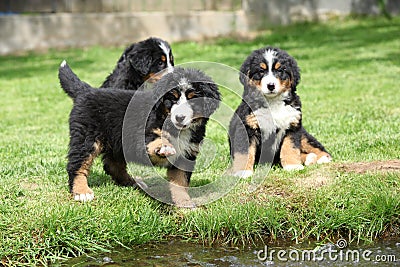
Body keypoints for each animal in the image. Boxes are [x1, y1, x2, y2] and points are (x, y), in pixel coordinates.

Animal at [228, 46, 332, 178]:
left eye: (280, 70)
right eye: (261, 71)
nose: (271, 85)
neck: (272, 103)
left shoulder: (292, 127)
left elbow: (290, 148)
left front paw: (293, 166)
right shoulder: (247, 127)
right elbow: (245, 152)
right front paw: (243, 171)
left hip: (303, 135)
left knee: (314, 146)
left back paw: (322, 158)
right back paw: (310, 158)